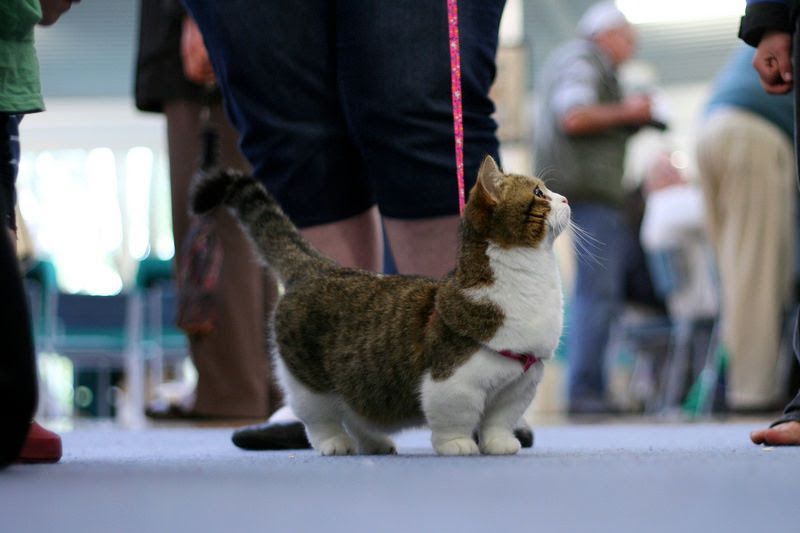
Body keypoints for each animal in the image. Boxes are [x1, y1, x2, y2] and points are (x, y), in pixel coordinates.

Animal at [192, 156, 568, 456]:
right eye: (538, 193)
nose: (565, 197)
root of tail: (318, 266)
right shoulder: (452, 382)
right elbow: (455, 419)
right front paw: (458, 445)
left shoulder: (518, 386)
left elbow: (499, 421)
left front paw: (499, 444)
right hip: (307, 381)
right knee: (320, 418)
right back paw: (335, 444)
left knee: (355, 412)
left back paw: (374, 443)